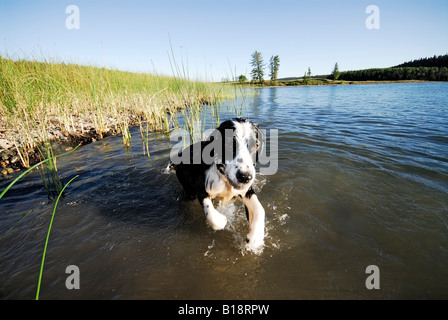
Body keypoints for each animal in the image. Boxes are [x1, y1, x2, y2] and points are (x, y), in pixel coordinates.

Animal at [172, 117, 266, 250]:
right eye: (228, 144)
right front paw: (221, 220)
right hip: (188, 190)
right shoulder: (201, 188)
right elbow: (211, 214)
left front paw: (255, 237)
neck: (225, 178)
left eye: (256, 145)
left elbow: (260, 209)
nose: (245, 177)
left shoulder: (246, 190)